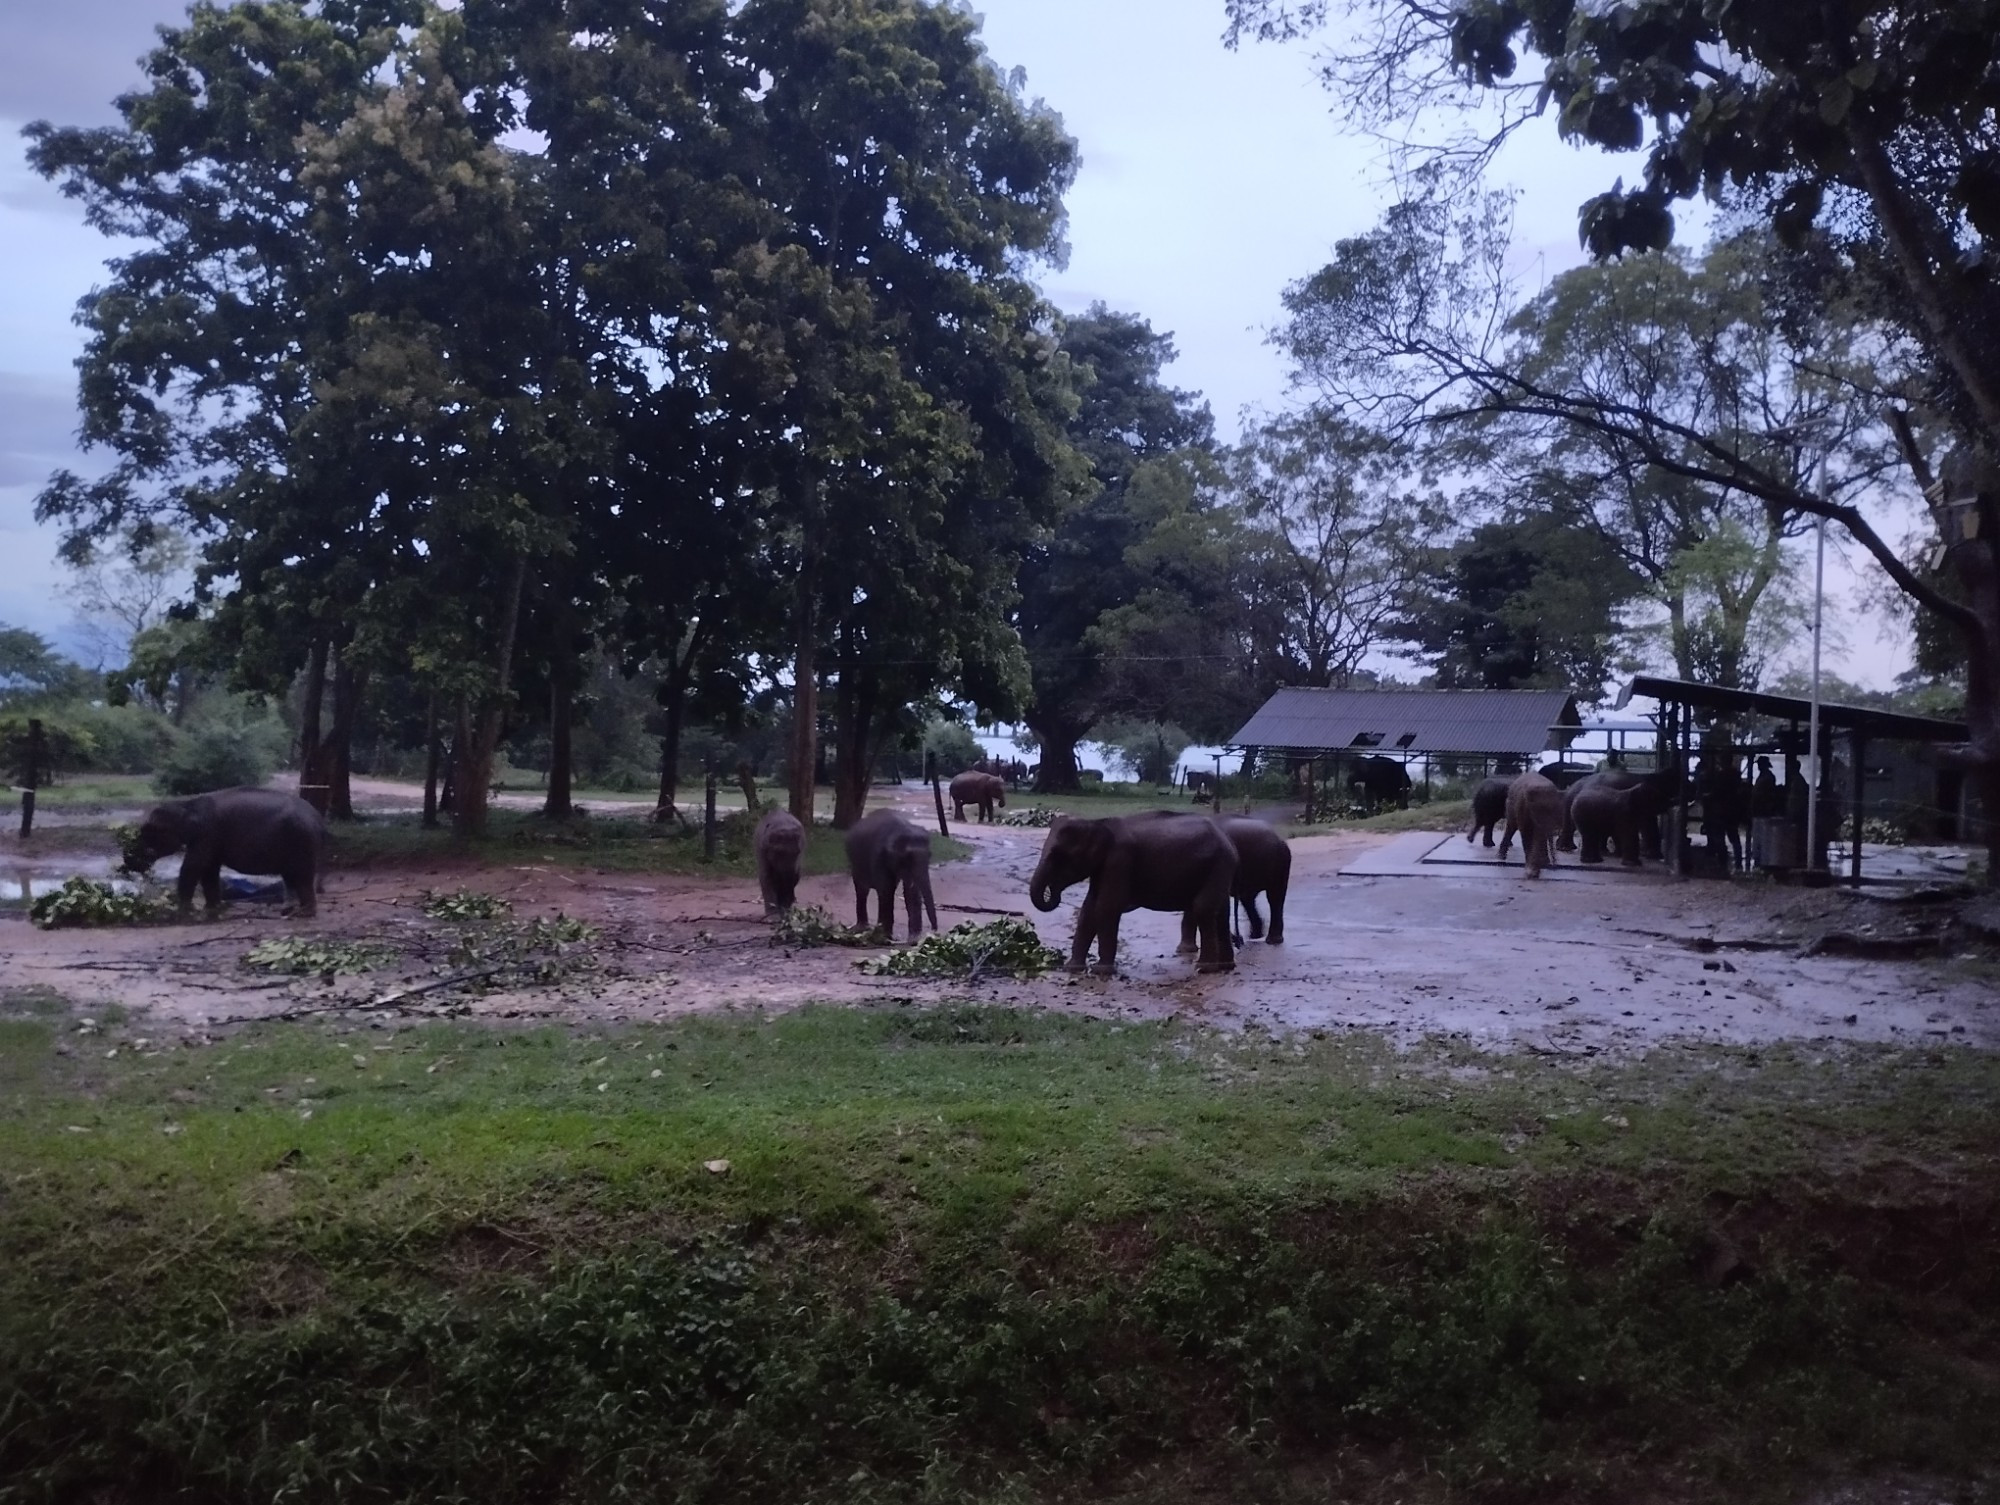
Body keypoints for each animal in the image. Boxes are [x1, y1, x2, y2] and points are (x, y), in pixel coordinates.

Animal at [124, 788, 326, 916]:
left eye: (146, 831)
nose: (130, 864)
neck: (186, 805)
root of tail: (318, 818)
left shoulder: (206, 834)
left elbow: (194, 866)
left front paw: (183, 910)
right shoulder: (211, 840)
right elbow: (209, 871)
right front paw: (212, 909)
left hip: (301, 842)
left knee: (302, 876)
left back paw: (304, 913)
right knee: (291, 877)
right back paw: (288, 911)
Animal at [840, 812, 940, 940]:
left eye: (930, 855)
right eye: (907, 858)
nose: (934, 931)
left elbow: (911, 893)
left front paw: (914, 938)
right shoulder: (878, 856)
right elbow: (886, 890)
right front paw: (885, 936)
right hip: (854, 860)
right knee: (862, 889)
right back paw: (863, 928)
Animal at [1032, 812, 1232, 976]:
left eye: (1058, 855)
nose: (1054, 889)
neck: (1098, 823)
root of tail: (1227, 841)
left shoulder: (1119, 860)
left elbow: (1106, 906)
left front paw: (1101, 971)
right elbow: (1088, 908)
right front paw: (1072, 969)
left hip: (1218, 865)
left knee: (1203, 908)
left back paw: (1204, 969)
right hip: (1218, 868)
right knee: (1220, 913)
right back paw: (1225, 967)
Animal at [1168, 812, 1296, 952]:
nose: (1238, 939)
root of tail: (1280, 839)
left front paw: (1185, 950)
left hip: (1279, 864)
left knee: (1274, 897)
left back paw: (1270, 940)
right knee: (1248, 898)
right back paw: (1254, 935)